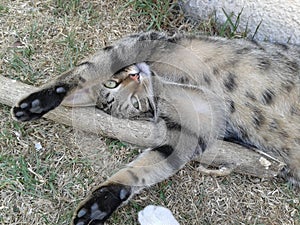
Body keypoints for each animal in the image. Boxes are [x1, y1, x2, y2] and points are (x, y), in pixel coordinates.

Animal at [11, 32, 300, 225]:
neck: (164, 83)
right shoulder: (193, 127)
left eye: (113, 83)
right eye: (135, 101)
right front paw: (103, 201)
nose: (136, 75)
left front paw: (40, 100)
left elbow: (86, 68)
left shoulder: (144, 41)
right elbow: (143, 168)